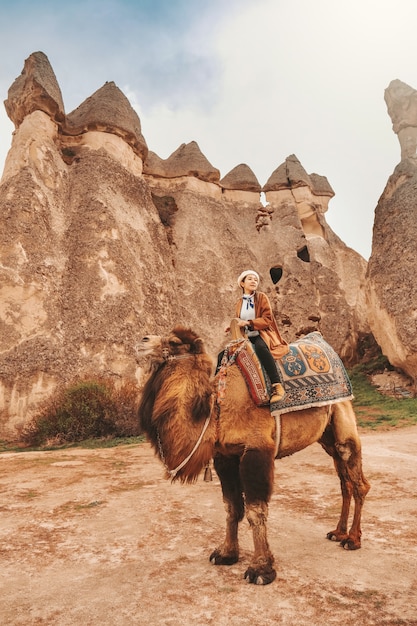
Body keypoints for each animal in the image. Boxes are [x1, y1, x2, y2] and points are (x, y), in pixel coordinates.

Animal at [138, 322, 368, 584]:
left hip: (343, 417)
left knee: (357, 480)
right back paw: (338, 532)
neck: (218, 407)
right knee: (344, 481)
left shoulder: (256, 450)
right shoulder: (225, 456)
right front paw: (226, 554)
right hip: (326, 436)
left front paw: (260, 569)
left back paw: (353, 539)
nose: (143, 340)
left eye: (174, 342)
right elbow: (231, 508)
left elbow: (255, 511)